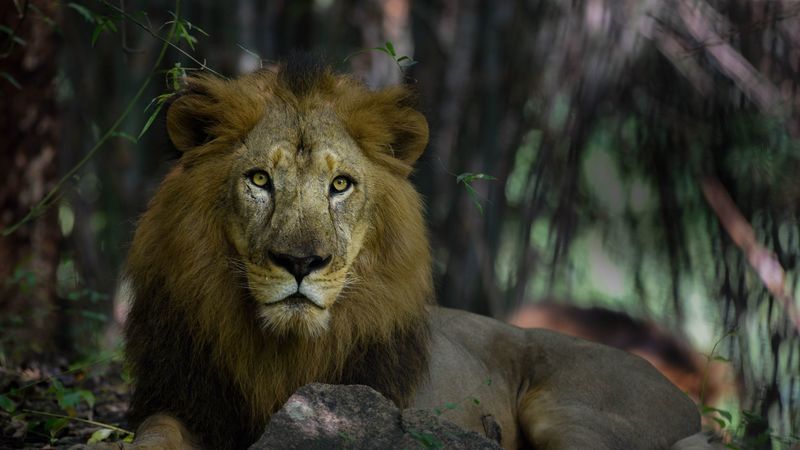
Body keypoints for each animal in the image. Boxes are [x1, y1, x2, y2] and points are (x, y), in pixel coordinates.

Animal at [119, 57, 707, 450]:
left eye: (340, 185)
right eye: (260, 179)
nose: (301, 263)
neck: (282, 351)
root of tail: (689, 400)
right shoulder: (178, 400)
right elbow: (152, 434)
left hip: (565, 410)